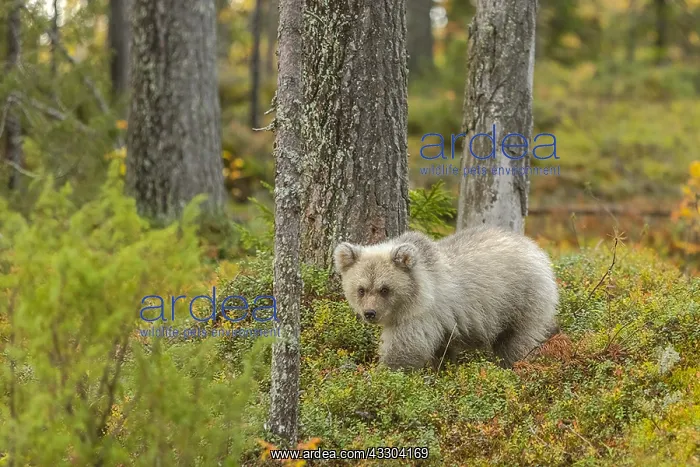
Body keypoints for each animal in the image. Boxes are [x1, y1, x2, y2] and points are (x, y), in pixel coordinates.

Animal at [333, 227, 559, 370]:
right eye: (361, 289)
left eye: (385, 289)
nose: (370, 313)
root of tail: (536, 249)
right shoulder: (441, 324)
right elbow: (441, 352)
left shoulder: (421, 314)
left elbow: (405, 349)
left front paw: (384, 373)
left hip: (522, 298)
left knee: (516, 341)